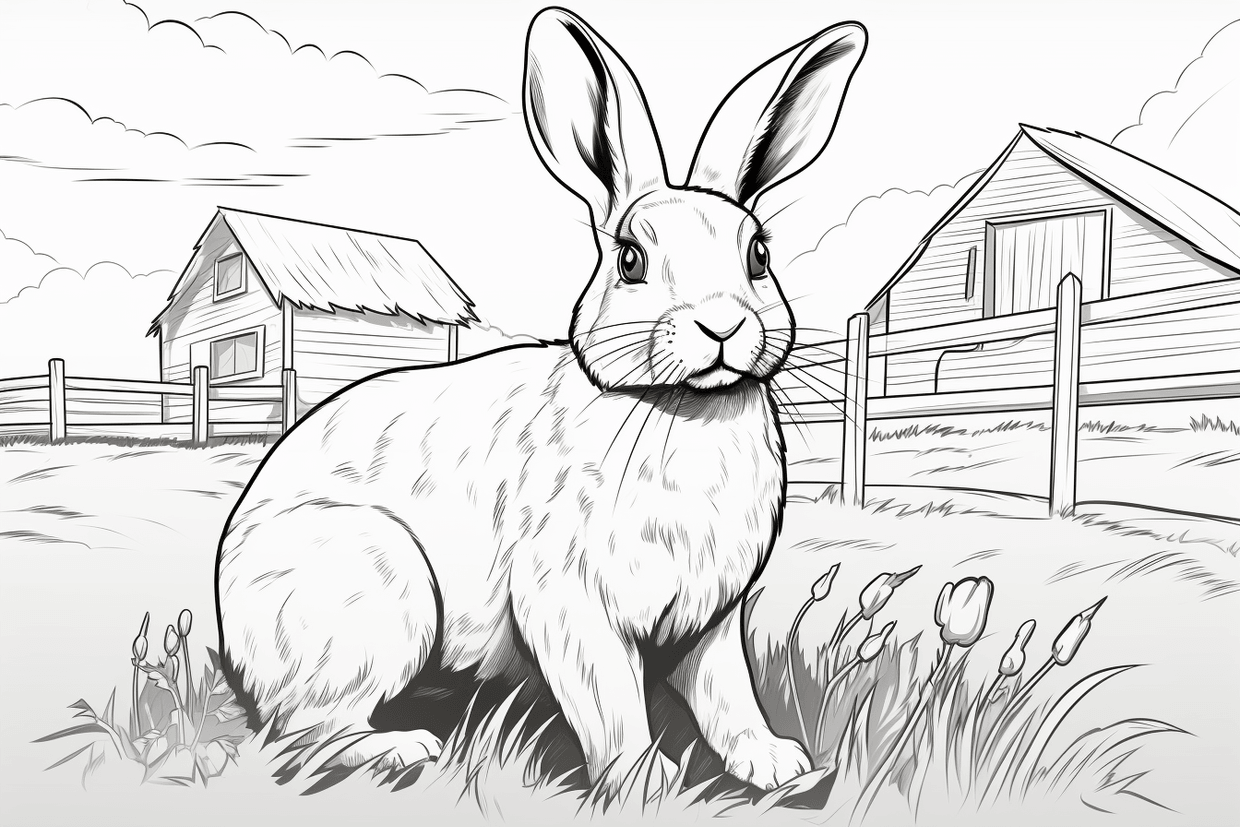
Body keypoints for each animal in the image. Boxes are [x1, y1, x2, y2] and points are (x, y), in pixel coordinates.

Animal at [216, 6, 866, 792]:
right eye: (630, 259)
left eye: (759, 254)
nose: (722, 325)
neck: (679, 408)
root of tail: (231, 619)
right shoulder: (568, 600)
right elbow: (610, 698)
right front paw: (642, 780)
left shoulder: (710, 620)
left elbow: (726, 691)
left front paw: (772, 762)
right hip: (377, 591)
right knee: (301, 729)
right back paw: (401, 749)